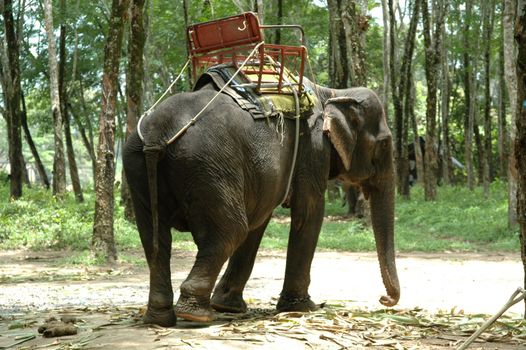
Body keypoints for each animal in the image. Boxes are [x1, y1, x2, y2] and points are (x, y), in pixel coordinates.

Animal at [124, 78, 402, 326]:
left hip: (138, 165)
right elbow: (308, 212)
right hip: (207, 166)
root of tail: (157, 133)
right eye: (384, 144)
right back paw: (196, 315)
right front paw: (303, 308)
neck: (333, 92)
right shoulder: (312, 149)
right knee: (231, 231)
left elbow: (259, 221)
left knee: (155, 237)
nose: (384, 299)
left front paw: (228, 306)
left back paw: (159, 318)